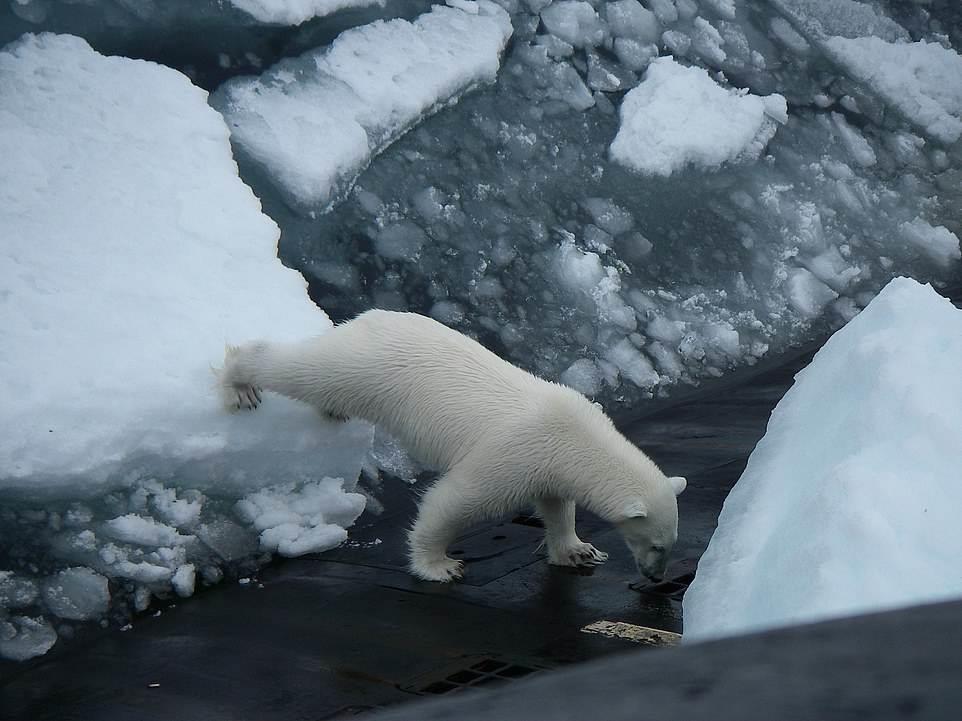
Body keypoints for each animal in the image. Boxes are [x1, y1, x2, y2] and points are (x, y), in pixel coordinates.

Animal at [218, 312, 684, 584]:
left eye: (670, 543)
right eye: (657, 545)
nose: (656, 578)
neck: (575, 438)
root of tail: (367, 318)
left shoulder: (549, 463)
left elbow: (556, 504)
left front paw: (579, 551)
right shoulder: (515, 455)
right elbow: (455, 500)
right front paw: (440, 565)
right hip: (365, 369)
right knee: (306, 370)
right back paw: (240, 381)